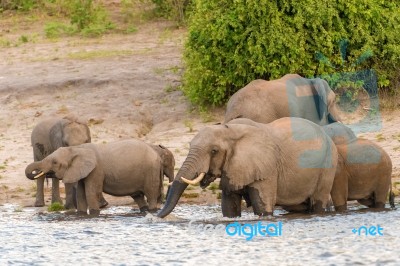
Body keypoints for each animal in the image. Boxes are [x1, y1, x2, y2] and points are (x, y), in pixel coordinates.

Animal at [25, 138, 175, 215]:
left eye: (55, 162)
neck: (77, 149)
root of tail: (157, 156)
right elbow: (81, 194)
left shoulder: (96, 170)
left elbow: (91, 193)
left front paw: (94, 214)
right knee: (138, 197)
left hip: (151, 171)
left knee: (151, 195)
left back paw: (152, 211)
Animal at [158, 117, 340, 217]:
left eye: (214, 151)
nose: (156, 217)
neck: (230, 130)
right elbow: (229, 208)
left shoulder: (266, 168)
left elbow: (263, 207)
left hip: (328, 163)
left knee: (318, 201)